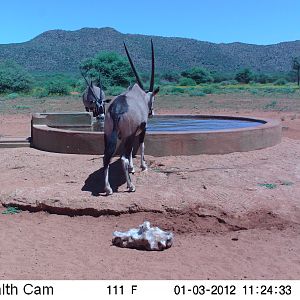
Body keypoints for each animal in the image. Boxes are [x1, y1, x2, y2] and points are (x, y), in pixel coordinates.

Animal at [103, 39, 158, 195]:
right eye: (153, 100)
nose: (152, 113)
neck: (141, 96)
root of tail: (116, 110)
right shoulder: (141, 130)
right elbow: (141, 145)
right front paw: (143, 166)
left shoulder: (124, 137)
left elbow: (131, 151)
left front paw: (133, 168)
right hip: (129, 135)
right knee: (123, 159)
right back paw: (131, 186)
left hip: (109, 135)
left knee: (107, 157)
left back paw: (108, 188)